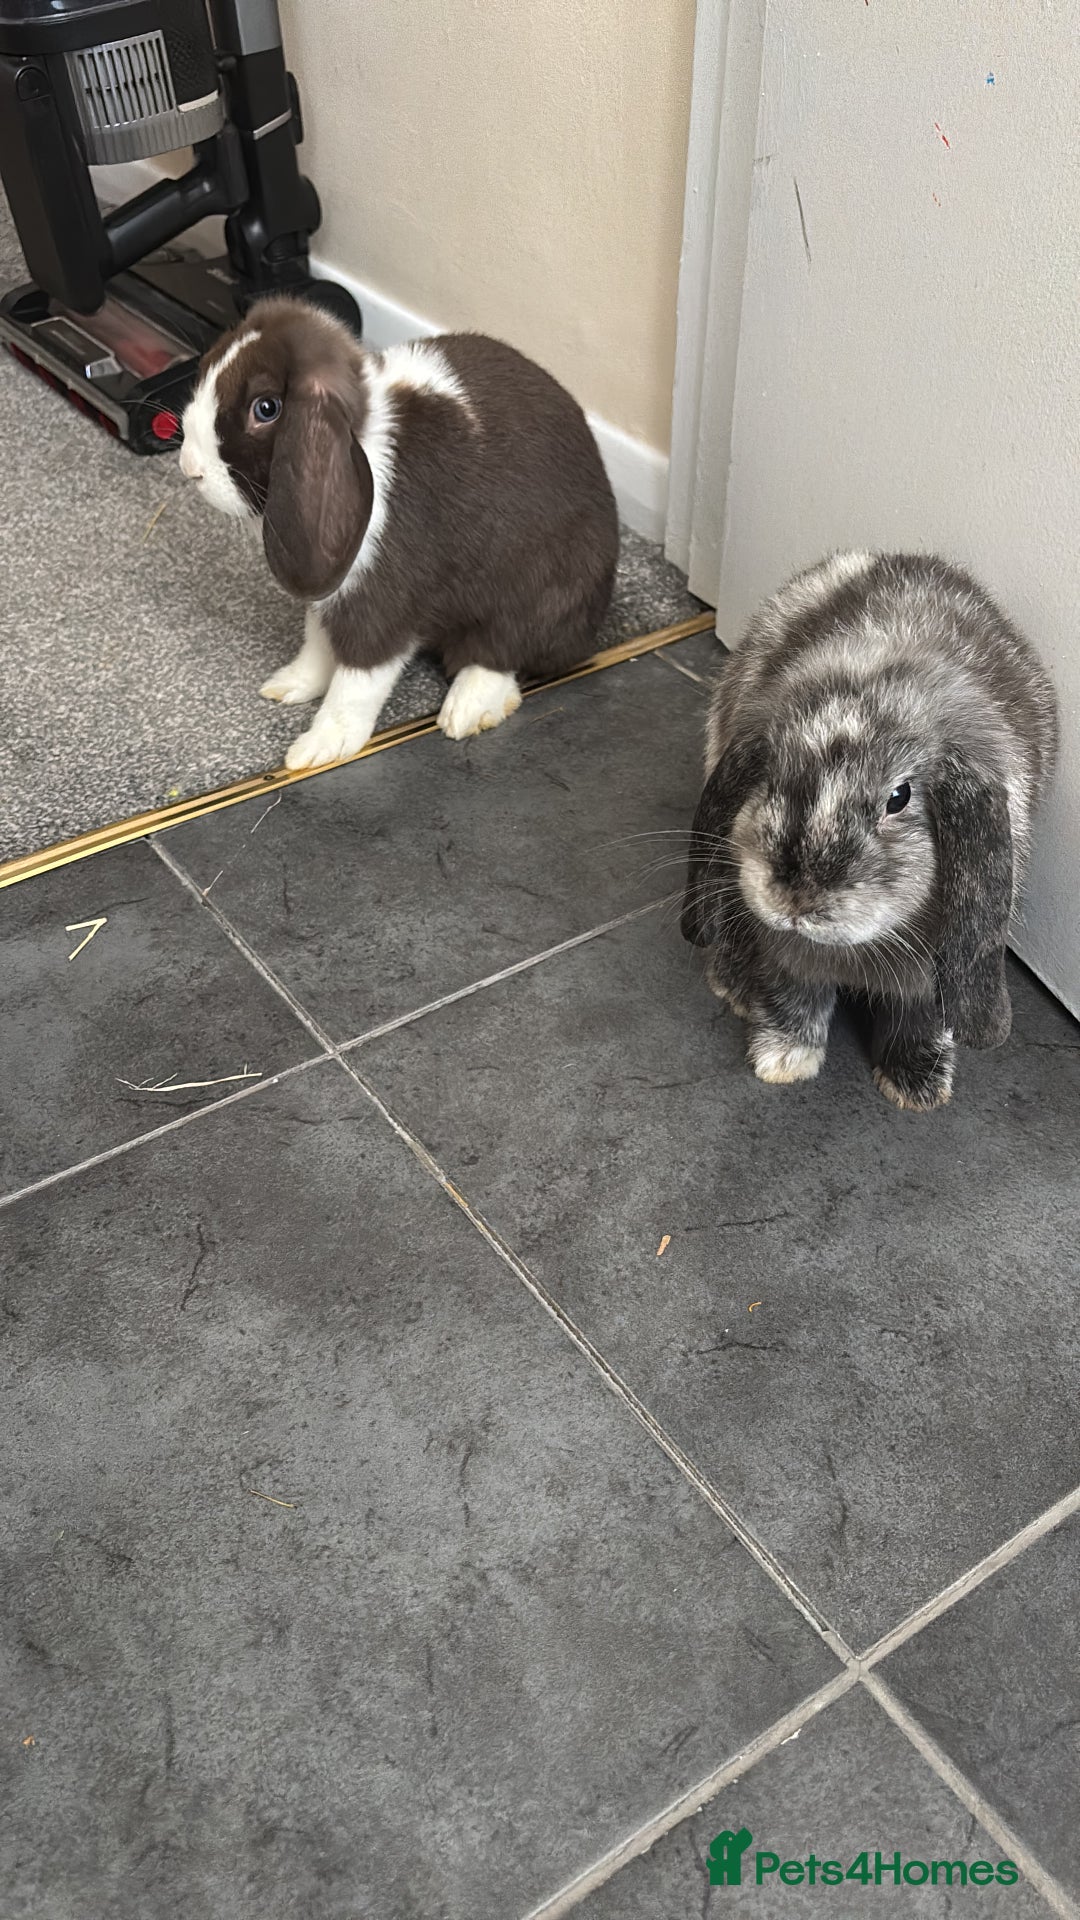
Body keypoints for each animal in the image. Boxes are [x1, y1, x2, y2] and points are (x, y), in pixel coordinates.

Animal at [178, 297, 619, 769]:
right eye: (207, 365)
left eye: (266, 408)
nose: (190, 467)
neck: (360, 443)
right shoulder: (331, 588)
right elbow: (317, 644)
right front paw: (291, 684)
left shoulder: (381, 605)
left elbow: (357, 680)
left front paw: (319, 747)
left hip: (543, 592)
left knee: (503, 652)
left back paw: (467, 709)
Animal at [680, 552, 1059, 1110]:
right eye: (770, 776)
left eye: (899, 798)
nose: (794, 903)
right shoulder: (790, 958)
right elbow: (795, 999)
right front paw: (784, 1061)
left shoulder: (931, 979)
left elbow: (920, 1023)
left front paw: (916, 1088)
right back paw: (733, 987)